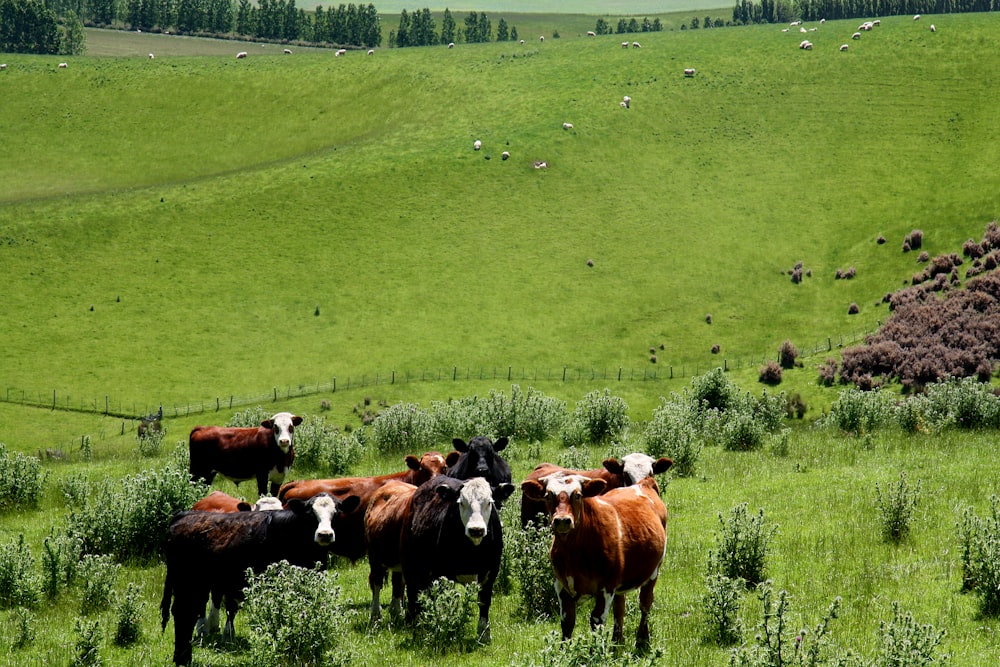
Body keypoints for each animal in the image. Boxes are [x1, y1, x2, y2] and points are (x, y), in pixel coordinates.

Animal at [164, 494, 364, 664]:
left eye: (336, 513)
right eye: (310, 513)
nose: (325, 534)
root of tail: (183, 515)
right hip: (186, 582)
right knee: (184, 612)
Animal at [400, 478, 516, 644]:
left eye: (489, 502)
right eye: (461, 503)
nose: (476, 530)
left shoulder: (491, 572)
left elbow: (484, 601)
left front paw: (484, 633)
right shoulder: (442, 574)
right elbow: (444, 601)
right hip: (410, 565)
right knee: (413, 593)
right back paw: (413, 622)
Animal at [520, 472, 668, 648]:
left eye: (578, 495)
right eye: (548, 495)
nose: (562, 520)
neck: (573, 553)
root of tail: (643, 483)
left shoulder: (606, 586)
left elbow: (596, 620)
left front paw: (595, 650)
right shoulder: (561, 585)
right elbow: (567, 620)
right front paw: (564, 651)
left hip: (654, 571)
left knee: (645, 603)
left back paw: (642, 640)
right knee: (620, 607)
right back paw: (617, 641)